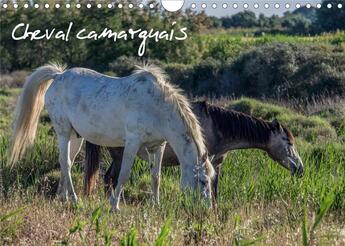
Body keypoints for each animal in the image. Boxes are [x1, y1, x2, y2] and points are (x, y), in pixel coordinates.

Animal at [7, 63, 212, 209]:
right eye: (203, 181)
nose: (207, 209)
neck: (156, 106)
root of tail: (58, 76)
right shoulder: (132, 143)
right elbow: (124, 174)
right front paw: (115, 205)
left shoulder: (158, 146)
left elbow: (156, 176)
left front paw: (156, 205)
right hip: (63, 132)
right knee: (65, 163)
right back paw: (74, 199)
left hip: (76, 137)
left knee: (66, 163)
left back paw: (61, 198)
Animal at [84, 101, 304, 198]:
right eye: (289, 143)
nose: (300, 169)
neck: (216, 125)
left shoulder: (217, 163)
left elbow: (215, 188)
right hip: (120, 154)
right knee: (111, 179)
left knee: (108, 178)